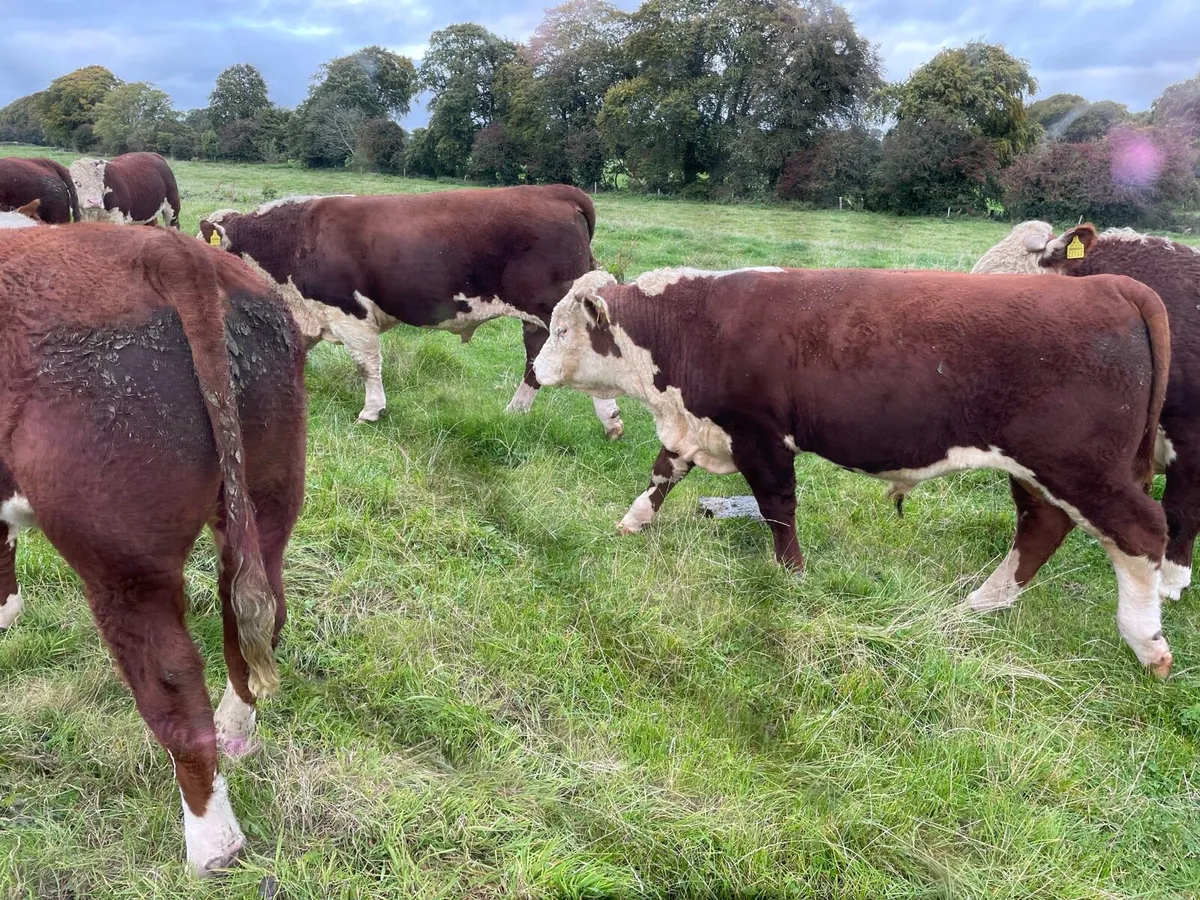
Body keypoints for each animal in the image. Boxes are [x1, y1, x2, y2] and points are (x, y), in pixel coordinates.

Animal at [0, 223, 307, 875]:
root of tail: (170, 251)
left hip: (121, 557)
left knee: (171, 681)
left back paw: (212, 843)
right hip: (268, 497)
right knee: (260, 616)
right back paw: (236, 732)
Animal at [197, 187, 624, 437]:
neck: (295, 240)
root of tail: (556, 191)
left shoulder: (350, 312)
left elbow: (366, 364)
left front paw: (372, 410)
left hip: (557, 303)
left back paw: (610, 418)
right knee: (535, 356)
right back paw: (515, 412)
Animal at [533, 266, 1174, 677]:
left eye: (561, 330)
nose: (534, 372)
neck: (690, 324)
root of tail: (1110, 286)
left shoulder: (759, 434)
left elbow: (777, 507)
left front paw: (792, 577)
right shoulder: (699, 425)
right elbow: (663, 473)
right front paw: (633, 521)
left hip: (1080, 466)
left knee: (1141, 531)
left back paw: (1146, 644)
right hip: (1041, 468)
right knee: (1041, 525)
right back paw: (982, 603)